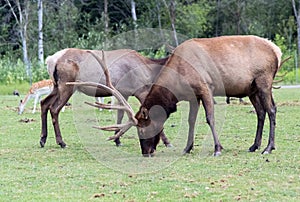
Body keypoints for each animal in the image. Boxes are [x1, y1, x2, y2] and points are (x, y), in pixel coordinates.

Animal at [39, 47, 171, 148]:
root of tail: (51, 60)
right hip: (66, 85)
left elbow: (120, 114)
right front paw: (167, 142)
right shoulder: (140, 90)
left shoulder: (124, 92)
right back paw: (61, 142)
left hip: (56, 86)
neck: (150, 72)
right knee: (54, 109)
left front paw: (117, 140)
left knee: (44, 102)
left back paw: (42, 140)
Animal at [87, 35, 284, 157]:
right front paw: (187, 148)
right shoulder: (192, 95)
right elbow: (191, 120)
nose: (146, 152)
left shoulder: (206, 87)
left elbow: (210, 118)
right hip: (251, 89)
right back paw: (254, 146)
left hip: (264, 81)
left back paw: (268, 148)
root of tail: (277, 51)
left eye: (141, 129)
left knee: (272, 110)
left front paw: (217, 148)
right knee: (261, 112)